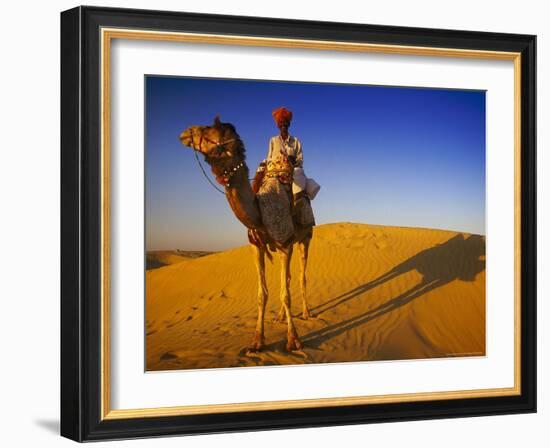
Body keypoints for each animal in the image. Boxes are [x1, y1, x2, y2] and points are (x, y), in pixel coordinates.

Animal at [181, 116, 314, 354]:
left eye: (209, 130)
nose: (186, 132)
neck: (259, 212)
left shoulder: (284, 243)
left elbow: (286, 294)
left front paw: (294, 340)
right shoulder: (257, 246)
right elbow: (263, 294)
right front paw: (257, 342)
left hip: (305, 238)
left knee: (301, 276)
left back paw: (307, 313)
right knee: (289, 279)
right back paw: (280, 317)